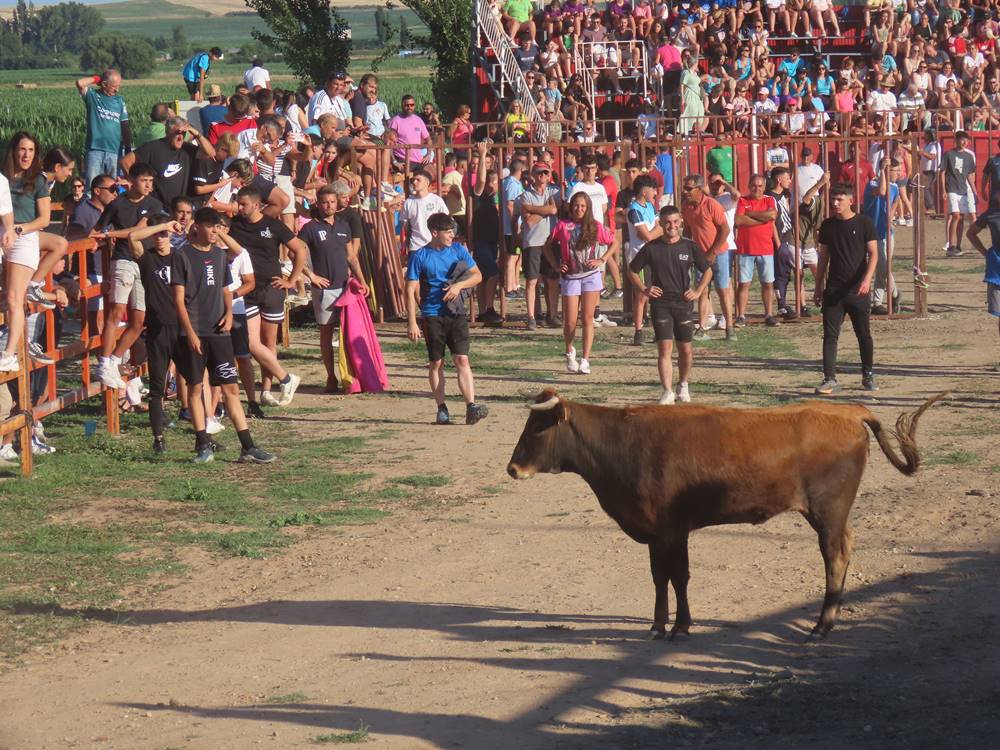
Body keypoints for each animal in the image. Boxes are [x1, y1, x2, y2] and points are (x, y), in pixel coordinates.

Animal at [508, 390, 944, 644]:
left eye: (538, 428)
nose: (513, 469)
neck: (624, 443)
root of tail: (849, 412)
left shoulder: (673, 530)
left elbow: (678, 577)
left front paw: (681, 626)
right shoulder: (655, 533)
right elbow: (659, 578)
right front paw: (657, 625)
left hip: (828, 511)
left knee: (834, 556)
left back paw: (821, 625)